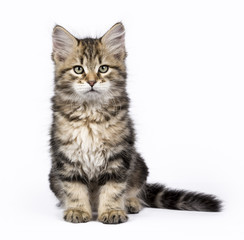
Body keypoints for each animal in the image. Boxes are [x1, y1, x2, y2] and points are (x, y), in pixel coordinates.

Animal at [49, 22, 221, 223]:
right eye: (78, 69)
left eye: (103, 68)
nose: (91, 81)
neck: (90, 113)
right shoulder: (66, 156)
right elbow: (73, 188)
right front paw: (77, 210)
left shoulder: (118, 154)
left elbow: (113, 188)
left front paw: (111, 211)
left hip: (139, 165)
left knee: (134, 190)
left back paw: (131, 203)